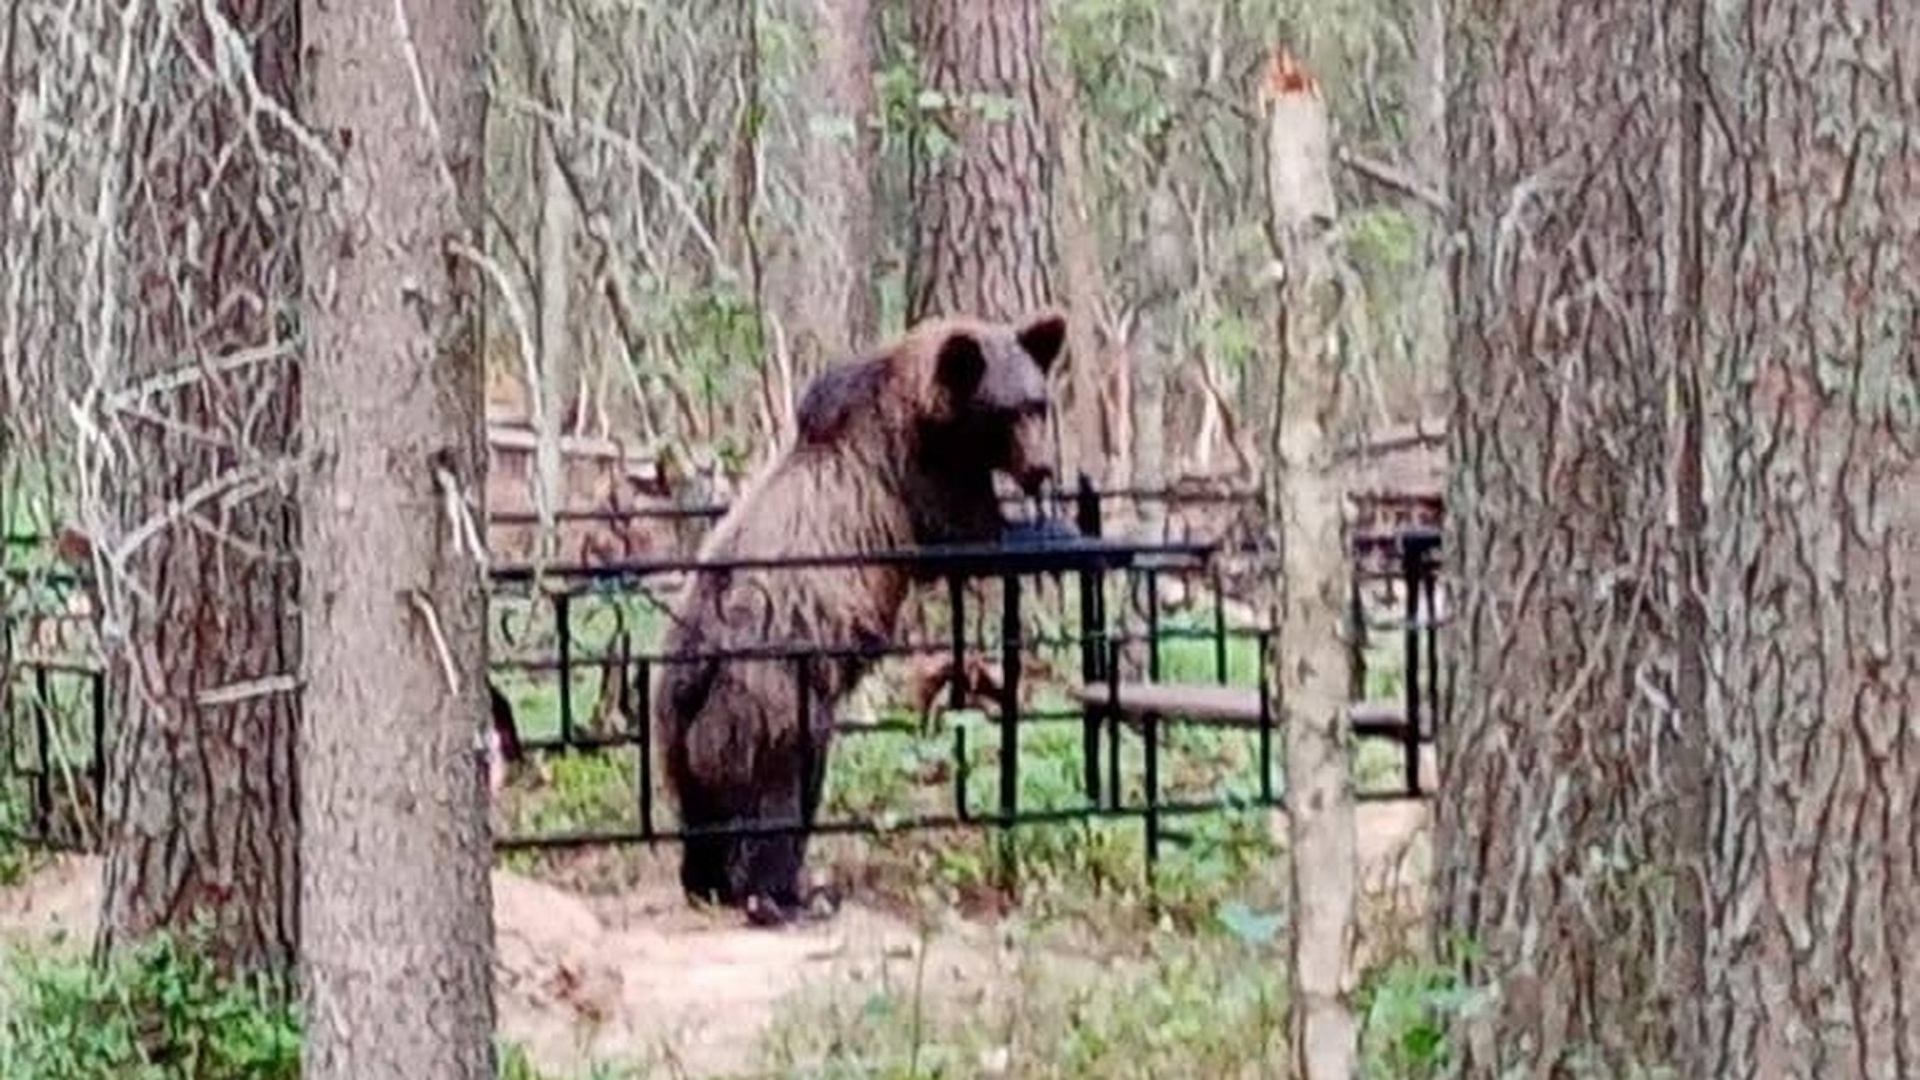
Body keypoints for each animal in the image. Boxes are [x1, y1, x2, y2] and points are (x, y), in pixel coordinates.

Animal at [645, 309, 1067, 926]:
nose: (1041, 468)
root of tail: (696, 667)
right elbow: (974, 539)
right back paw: (786, 896)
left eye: (1039, 403)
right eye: (1006, 410)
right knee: (783, 792)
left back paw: (708, 883)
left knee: (704, 812)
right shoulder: (916, 477)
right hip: (773, 697)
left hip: (681, 724)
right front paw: (1059, 531)